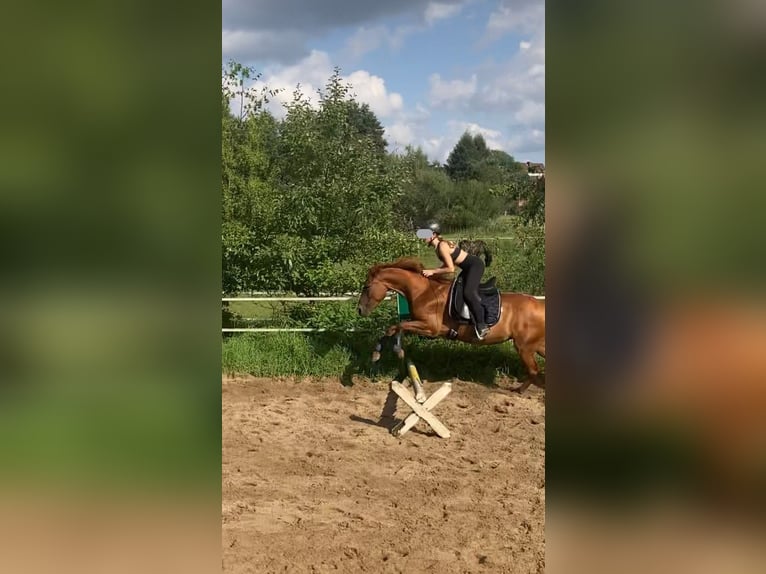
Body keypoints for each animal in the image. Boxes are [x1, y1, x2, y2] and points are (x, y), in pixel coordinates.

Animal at [358, 258, 544, 394]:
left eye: (366, 286)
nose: (359, 310)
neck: (423, 292)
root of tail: (541, 306)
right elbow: (394, 328)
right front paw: (378, 354)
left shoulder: (430, 328)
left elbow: (397, 326)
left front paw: (395, 350)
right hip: (537, 346)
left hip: (524, 347)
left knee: (534, 370)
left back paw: (518, 390)